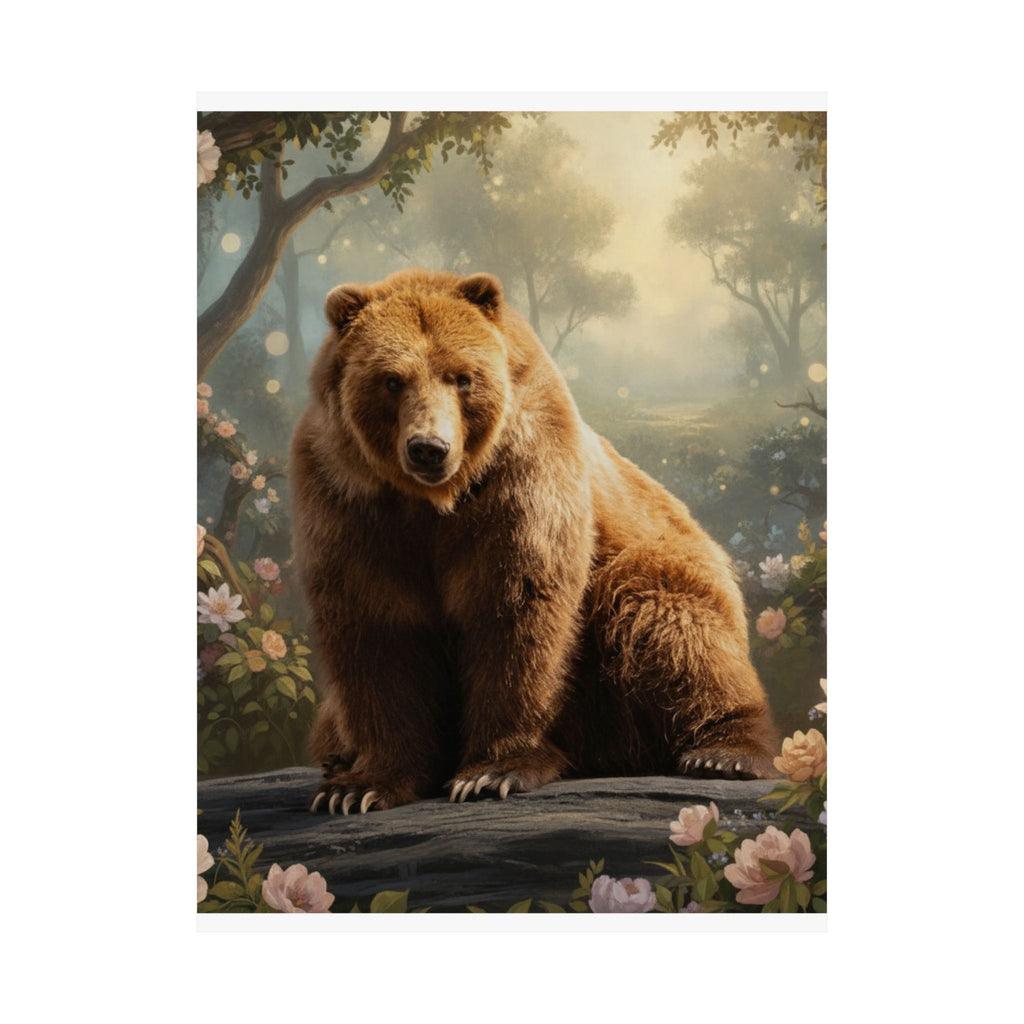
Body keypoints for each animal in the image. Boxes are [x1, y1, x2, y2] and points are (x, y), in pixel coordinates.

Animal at [290, 268, 778, 814]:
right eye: (392, 380)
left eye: (462, 377)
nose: (429, 448)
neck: (435, 501)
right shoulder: (350, 502)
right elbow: (377, 629)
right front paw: (360, 785)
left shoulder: (523, 478)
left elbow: (515, 612)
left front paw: (491, 771)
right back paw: (337, 756)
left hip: (653, 580)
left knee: (666, 613)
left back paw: (725, 751)